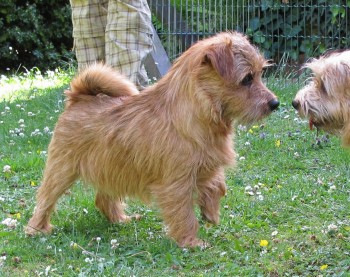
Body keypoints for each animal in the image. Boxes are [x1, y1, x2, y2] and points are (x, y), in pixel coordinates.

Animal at [25, 31, 278, 246]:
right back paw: (37, 228)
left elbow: (217, 184)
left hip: (109, 168)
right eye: (247, 79)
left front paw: (211, 212)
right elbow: (184, 213)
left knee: (103, 199)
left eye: (260, 74)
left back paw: (119, 219)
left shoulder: (206, 163)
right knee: (45, 198)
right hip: (62, 169)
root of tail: (79, 97)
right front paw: (190, 241)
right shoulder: (177, 183)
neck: (195, 113)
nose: (274, 103)